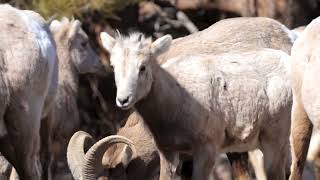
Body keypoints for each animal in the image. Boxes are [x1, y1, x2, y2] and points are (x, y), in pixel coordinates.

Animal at [100, 28, 292, 179]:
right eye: (113, 66)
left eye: (143, 67)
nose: (123, 100)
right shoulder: (169, 153)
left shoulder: (206, 151)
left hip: (274, 143)